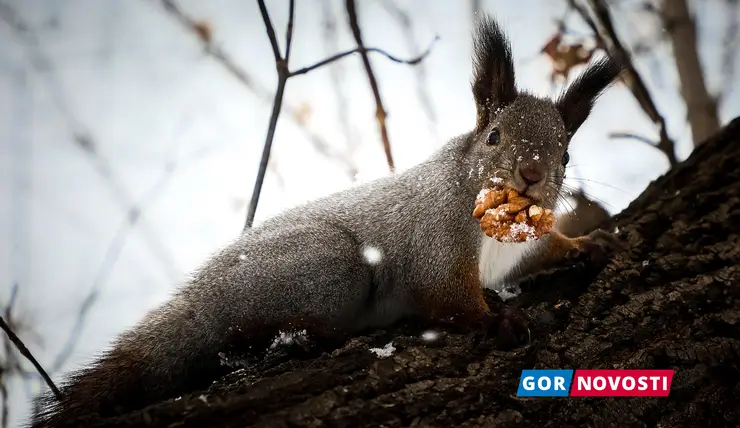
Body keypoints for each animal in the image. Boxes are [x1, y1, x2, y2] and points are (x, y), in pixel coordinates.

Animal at [33, 14, 624, 428]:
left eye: (566, 154)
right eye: (494, 137)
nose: (532, 174)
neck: (495, 224)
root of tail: (201, 297)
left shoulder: (518, 251)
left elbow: (543, 250)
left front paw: (588, 244)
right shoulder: (436, 238)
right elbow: (446, 295)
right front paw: (497, 321)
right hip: (331, 268)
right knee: (243, 331)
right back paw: (305, 336)